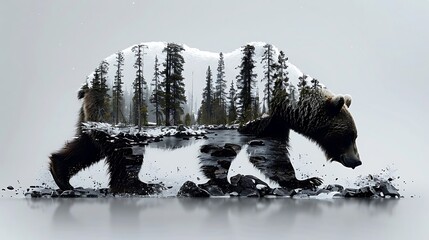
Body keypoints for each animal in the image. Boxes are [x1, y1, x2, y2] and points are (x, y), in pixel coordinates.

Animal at [48, 83, 360, 196]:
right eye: (350, 135)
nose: (357, 161)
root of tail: (89, 85)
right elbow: (225, 148)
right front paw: (223, 181)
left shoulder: (272, 122)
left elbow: (269, 151)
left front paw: (305, 180)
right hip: (122, 109)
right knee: (123, 150)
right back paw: (140, 185)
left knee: (90, 143)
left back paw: (61, 173)